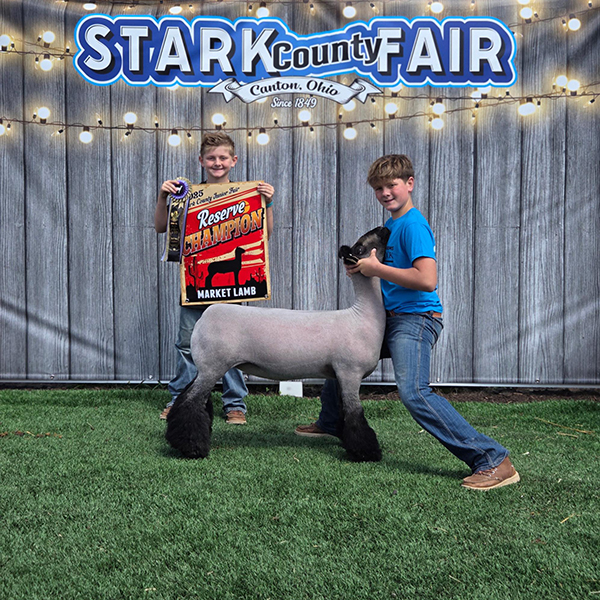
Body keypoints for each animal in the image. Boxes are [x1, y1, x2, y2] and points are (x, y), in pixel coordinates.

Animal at [166, 226, 391, 462]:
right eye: (360, 247)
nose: (383, 228)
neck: (361, 315)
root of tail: (206, 315)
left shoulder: (339, 374)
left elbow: (344, 412)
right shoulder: (350, 372)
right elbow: (355, 415)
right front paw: (367, 452)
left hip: (206, 366)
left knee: (187, 398)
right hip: (213, 365)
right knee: (191, 402)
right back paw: (192, 447)